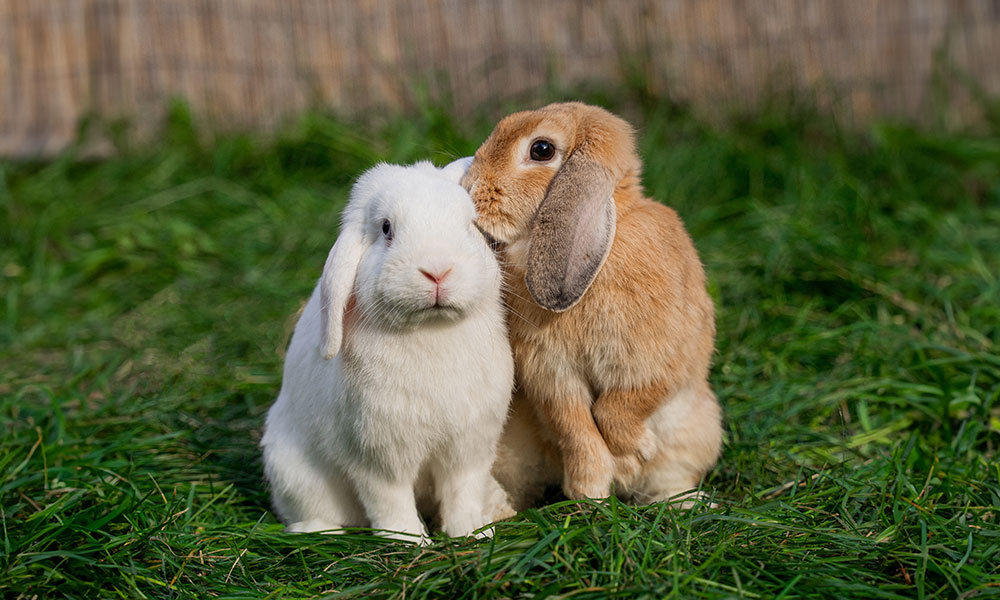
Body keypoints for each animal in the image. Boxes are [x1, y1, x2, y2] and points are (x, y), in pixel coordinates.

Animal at [260, 158, 515, 542]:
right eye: (386, 229)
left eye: (469, 225)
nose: (437, 271)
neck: (431, 329)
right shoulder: (377, 455)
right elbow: (390, 500)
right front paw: (410, 541)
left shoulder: (468, 447)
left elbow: (462, 492)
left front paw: (473, 533)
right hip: (296, 473)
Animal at [463, 102, 722, 508]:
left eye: (541, 149)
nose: (469, 186)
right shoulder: (551, 374)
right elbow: (575, 424)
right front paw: (591, 489)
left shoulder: (657, 361)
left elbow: (618, 407)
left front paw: (637, 452)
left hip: (697, 429)